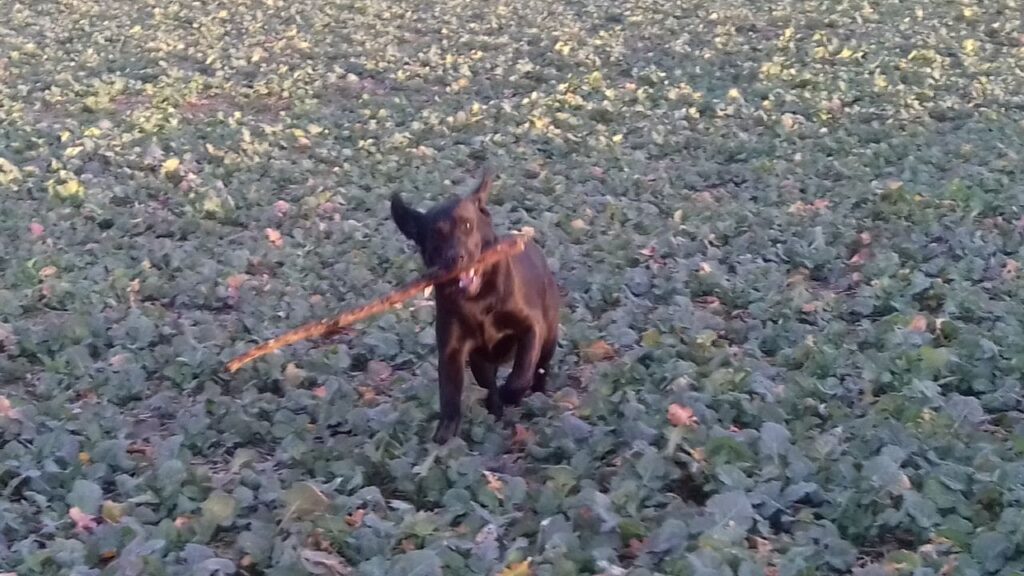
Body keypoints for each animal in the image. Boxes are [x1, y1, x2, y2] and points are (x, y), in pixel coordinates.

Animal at [389, 166, 561, 444]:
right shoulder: (453, 351)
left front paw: (511, 393)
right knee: (488, 386)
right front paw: (445, 434)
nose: (456, 258)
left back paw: (536, 397)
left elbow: (521, 372)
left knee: (540, 369)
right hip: (481, 362)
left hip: (549, 339)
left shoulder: (531, 328)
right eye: (436, 234)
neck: (478, 300)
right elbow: (449, 395)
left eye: (468, 225)